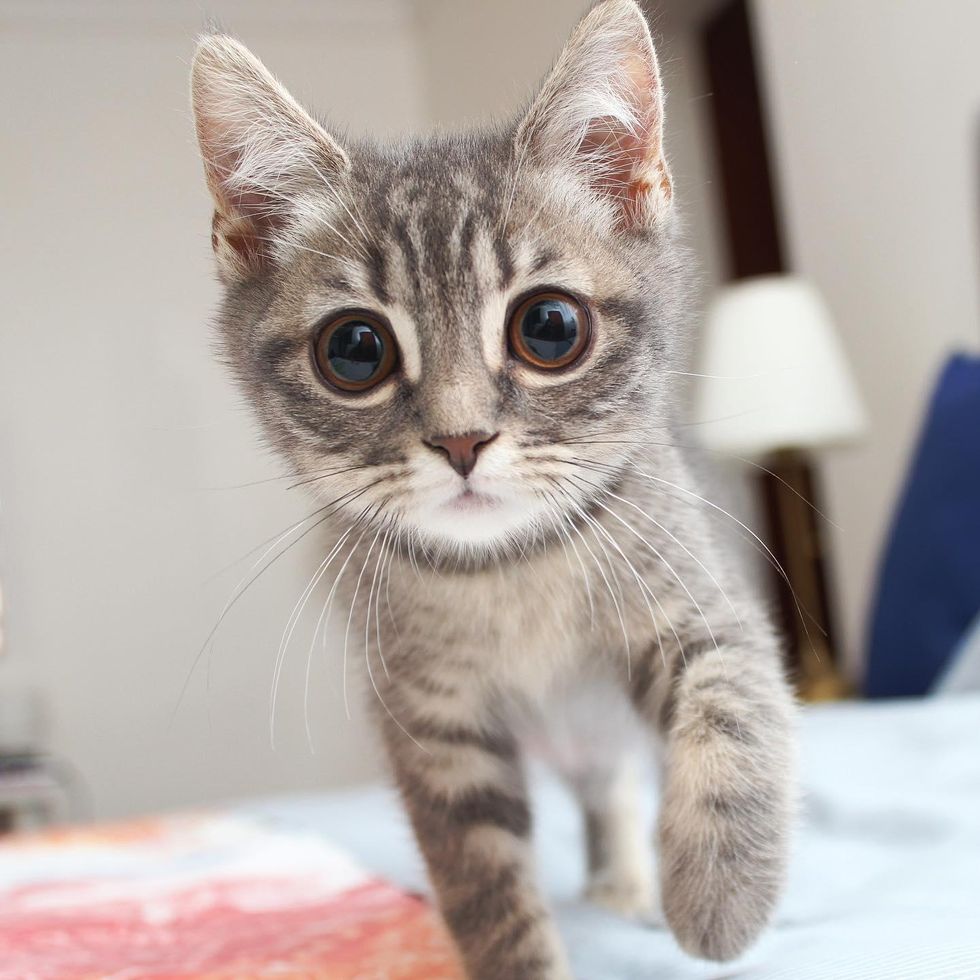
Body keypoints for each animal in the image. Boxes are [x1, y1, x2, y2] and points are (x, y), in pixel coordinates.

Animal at [191, 3, 796, 976]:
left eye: (548, 327)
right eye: (354, 349)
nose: (461, 438)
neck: (508, 570)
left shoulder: (703, 597)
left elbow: (735, 704)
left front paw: (718, 894)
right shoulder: (431, 723)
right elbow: (484, 886)